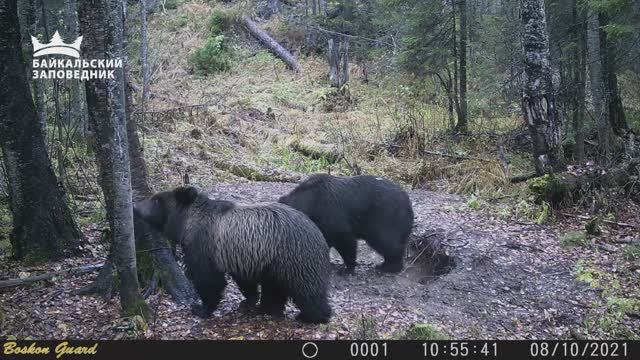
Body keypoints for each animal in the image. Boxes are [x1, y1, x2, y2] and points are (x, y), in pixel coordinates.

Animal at [136, 186, 336, 324]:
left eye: (156, 200)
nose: (136, 205)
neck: (187, 225)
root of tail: (316, 231)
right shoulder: (243, 257)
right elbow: (245, 282)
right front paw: (248, 302)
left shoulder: (205, 248)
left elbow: (209, 281)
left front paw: (201, 308)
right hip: (274, 264)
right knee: (275, 288)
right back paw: (268, 308)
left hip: (293, 257)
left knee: (307, 289)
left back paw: (313, 315)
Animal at [280, 174, 416, 272]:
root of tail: (408, 202)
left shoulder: (330, 213)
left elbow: (344, 239)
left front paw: (347, 267)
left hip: (386, 218)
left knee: (387, 242)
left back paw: (390, 266)